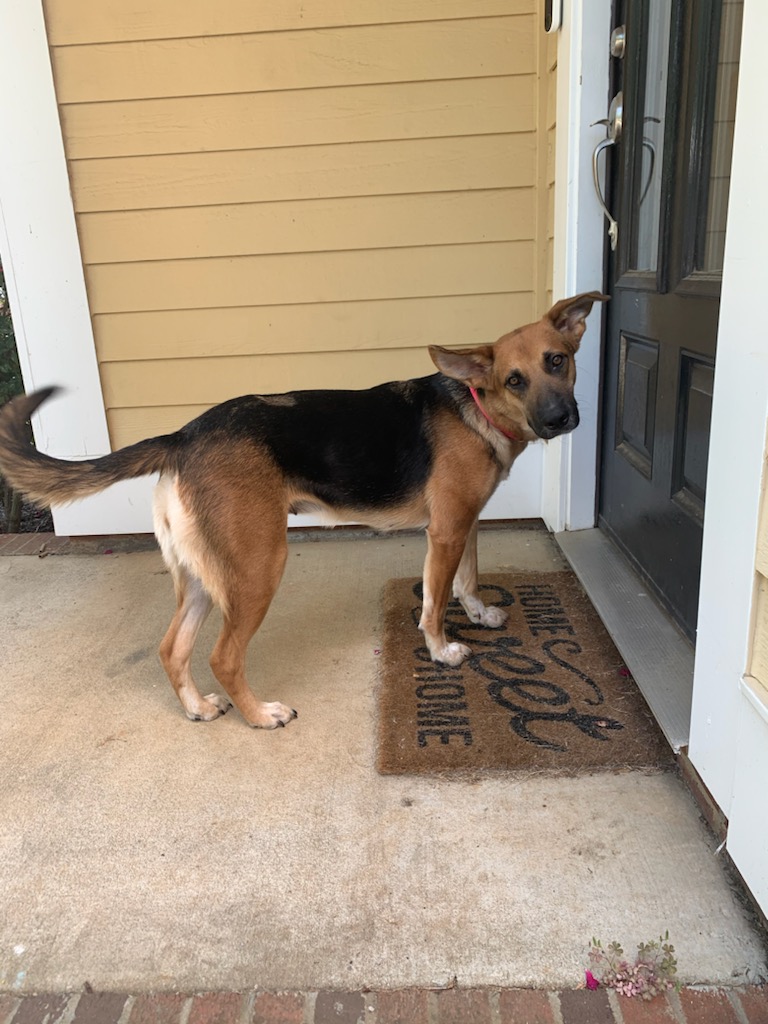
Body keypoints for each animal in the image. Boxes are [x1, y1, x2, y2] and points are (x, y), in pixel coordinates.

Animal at [0, 292, 606, 728]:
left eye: (558, 361)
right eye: (514, 380)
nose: (560, 420)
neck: (476, 403)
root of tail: (182, 436)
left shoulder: (467, 525)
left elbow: (467, 582)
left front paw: (479, 615)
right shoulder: (447, 531)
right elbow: (434, 602)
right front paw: (441, 651)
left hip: (203, 574)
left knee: (173, 649)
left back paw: (197, 707)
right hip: (258, 567)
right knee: (223, 657)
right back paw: (260, 715)